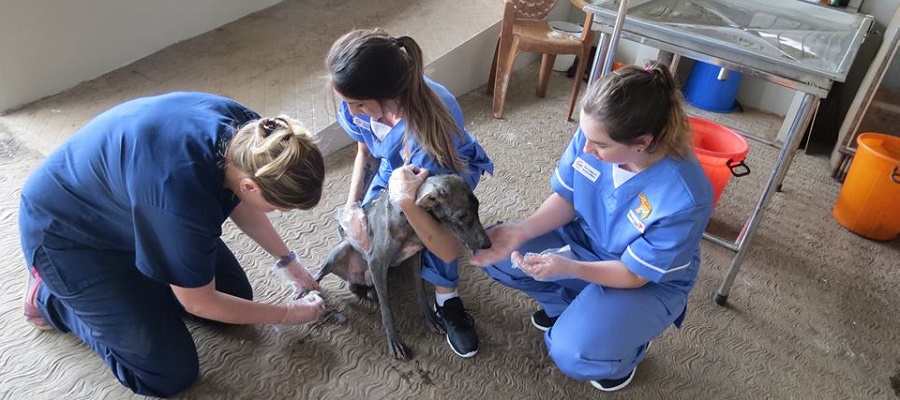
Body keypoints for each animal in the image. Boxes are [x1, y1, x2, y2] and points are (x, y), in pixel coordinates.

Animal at [314, 175, 492, 360]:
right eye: (461, 216)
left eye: (477, 207)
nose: (488, 244)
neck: (410, 219)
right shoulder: (376, 262)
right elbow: (387, 311)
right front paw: (394, 341)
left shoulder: (415, 256)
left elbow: (420, 291)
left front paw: (430, 319)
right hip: (341, 250)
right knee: (318, 275)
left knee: (359, 288)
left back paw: (370, 292)